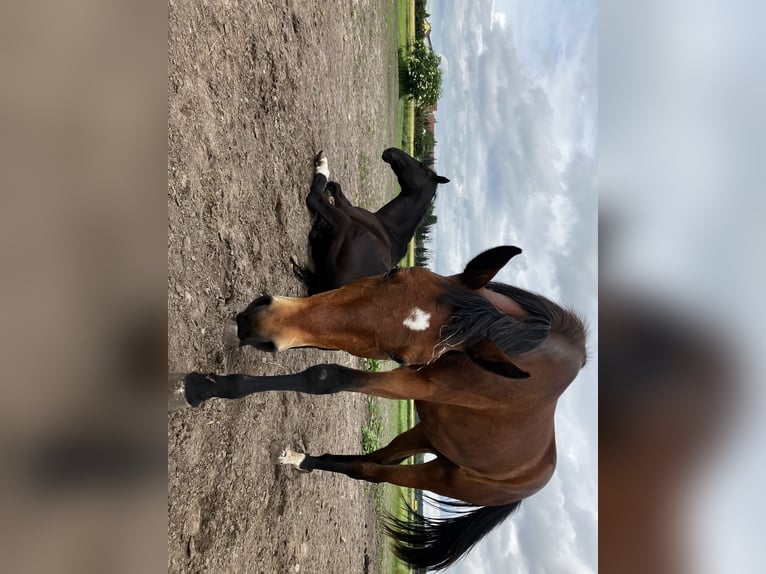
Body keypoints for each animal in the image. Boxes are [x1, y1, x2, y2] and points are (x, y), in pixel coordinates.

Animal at [177, 246, 588, 572]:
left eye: (400, 356)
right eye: (393, 273)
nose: (260, 322)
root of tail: (535, 480)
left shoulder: (418, 381)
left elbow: (324, 377)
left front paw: (204, 387)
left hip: (439, 476)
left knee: (371, 471)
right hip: (425, 435)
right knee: (375, 457)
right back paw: (302, 459)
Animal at [292, 148, 450, 294]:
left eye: (421, 165)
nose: (391, 150)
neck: (387, 227)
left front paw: (321, 163)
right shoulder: (345, 206)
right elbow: (336, 186)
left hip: (345, 224)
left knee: (315, 198)